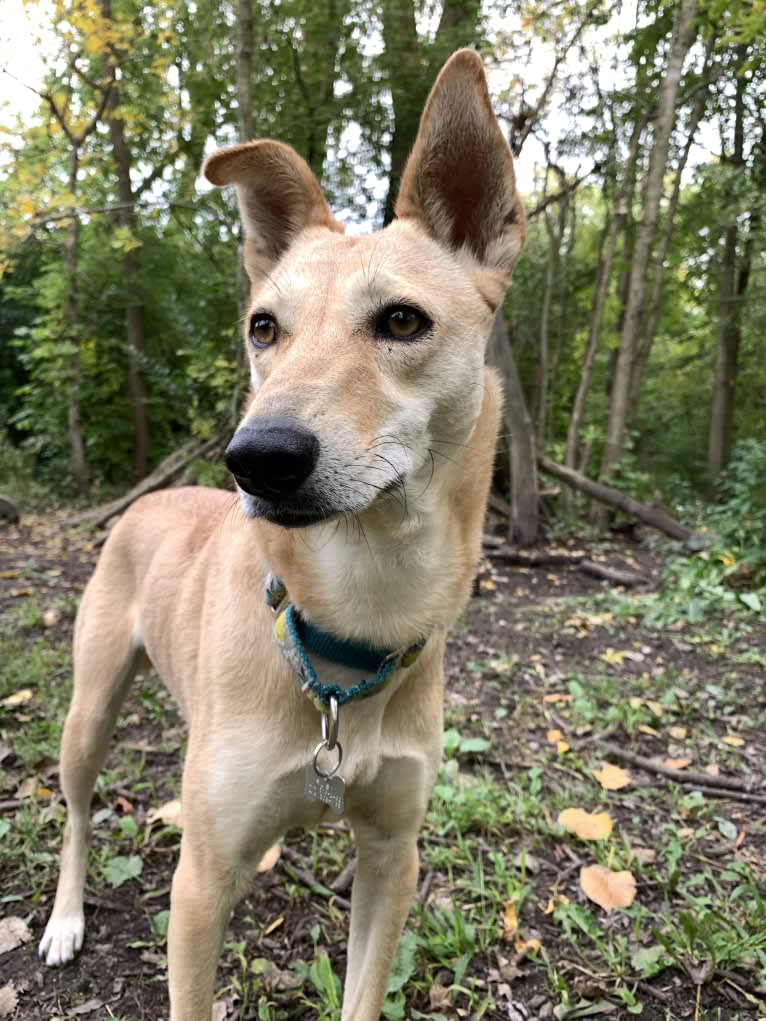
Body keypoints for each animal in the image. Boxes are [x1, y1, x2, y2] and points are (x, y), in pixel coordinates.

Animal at [37, 49, 527, 1021]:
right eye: (264, 327)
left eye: (403, 320)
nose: (256, 458)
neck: (355, 612)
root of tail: (151, 499)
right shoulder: (198, 888)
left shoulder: (392, 858)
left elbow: (363, 990)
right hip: (89, 707)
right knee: (74, 811)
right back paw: (65, 919)